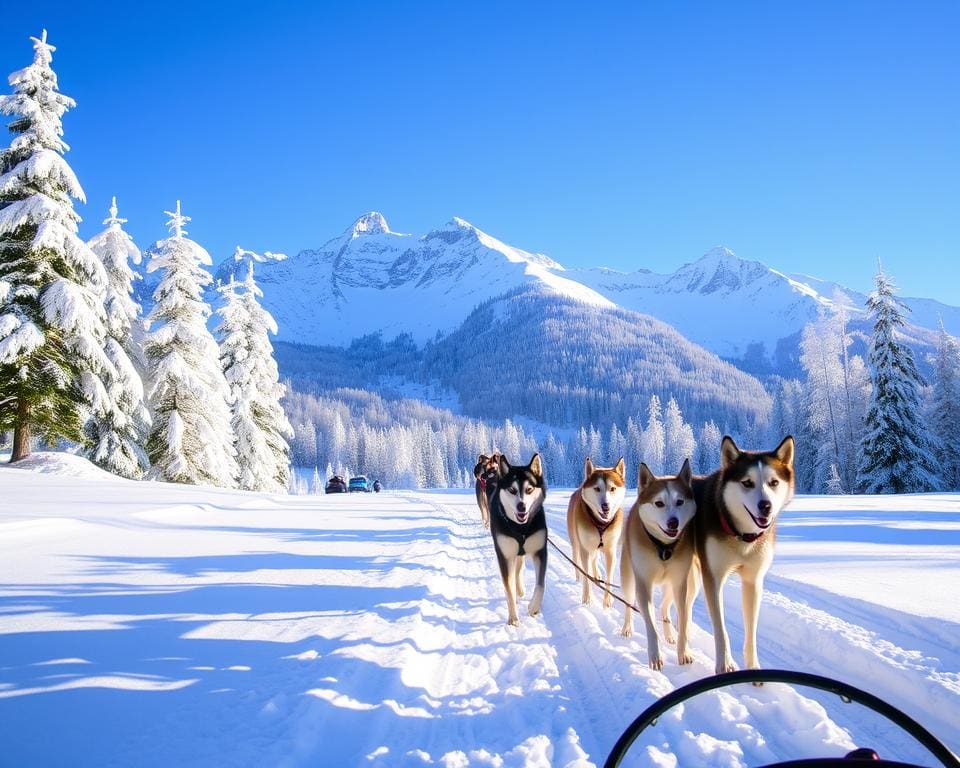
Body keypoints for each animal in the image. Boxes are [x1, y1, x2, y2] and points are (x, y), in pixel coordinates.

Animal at [488, 456, 548, 624]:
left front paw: (533, 608)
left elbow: (541, 585)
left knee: (519, 569)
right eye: (512, 490)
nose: (522, 506)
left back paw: (520, 590)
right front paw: (513, 619)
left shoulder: (540, 551)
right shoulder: (505, 556)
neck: (520, 527)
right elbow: (509, 588)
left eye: (529, 489)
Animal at [568, 460, 628, 608]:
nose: (606, 506)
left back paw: (596, 574)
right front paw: (586, 596)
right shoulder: (584, 549)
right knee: (578, 561)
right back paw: (578, 577)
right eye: (596, 488)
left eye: (612, 489)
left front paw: (608, 599)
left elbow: (609, 576)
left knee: (594, 559)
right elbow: (586, 574)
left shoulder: (610, 550)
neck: (600, 523)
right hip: (576, 544)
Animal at [620, 460, 692, 668]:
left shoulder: (680, 583)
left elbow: (683, 620)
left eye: (680, 501)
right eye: (659, 503)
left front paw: (684, 651)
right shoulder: (643, 584)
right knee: (628, 604)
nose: (673, 522)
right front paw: (655, 655)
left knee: (665, 609)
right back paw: (627, 628)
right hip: (629, 580)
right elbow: (650, 625)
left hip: (670, 586)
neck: (663, 547)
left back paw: (669, 634)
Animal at [692, 436, 800, 676]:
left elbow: (751, 631)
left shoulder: (753, 580)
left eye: (774, 482)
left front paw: (753, 668)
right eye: (747, 483)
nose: (765, 506)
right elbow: (721, 630)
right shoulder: (713, 579)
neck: (742, 536)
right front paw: (724, 664)